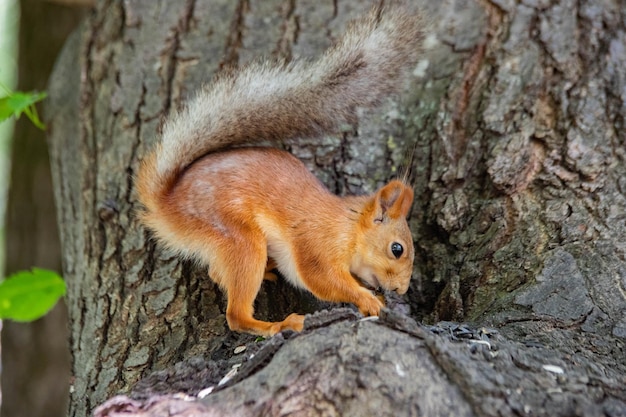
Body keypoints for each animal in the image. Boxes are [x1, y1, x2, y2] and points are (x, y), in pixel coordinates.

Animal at [134, 1, 422, 336]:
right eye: (397, 249)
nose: (401, 289)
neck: (347, 227)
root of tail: (167, 205)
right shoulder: (317, 244)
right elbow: (323, 281)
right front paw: (368, 299)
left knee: (219, 275)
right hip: (239, 239)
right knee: (236, 315)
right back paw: (280, 323)